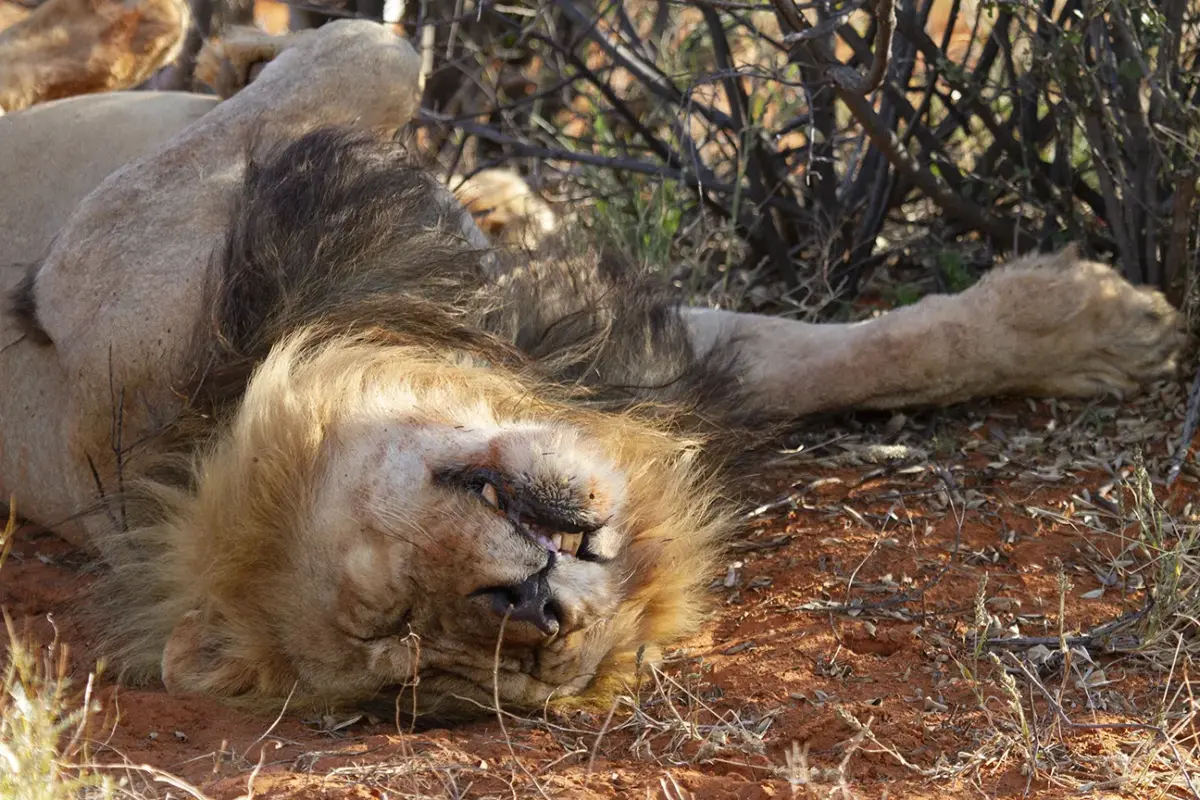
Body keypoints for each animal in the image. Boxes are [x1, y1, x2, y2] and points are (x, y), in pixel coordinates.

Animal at [0, 21, 1185, 723]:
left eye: (388, 598)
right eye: (408, 636)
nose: (535, 602)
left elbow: (852, 349)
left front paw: (1098, 325)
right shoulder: (91, 267)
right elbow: (366, 50)